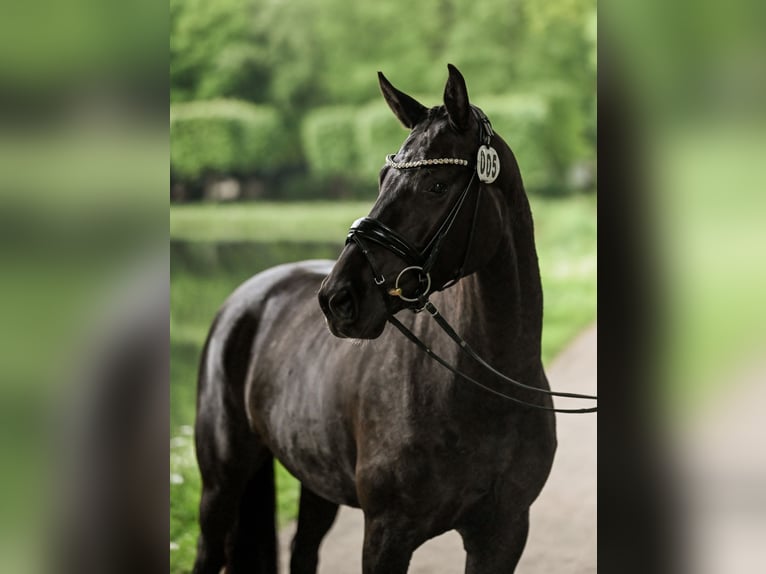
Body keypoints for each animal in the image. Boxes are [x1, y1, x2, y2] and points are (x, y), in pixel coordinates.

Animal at [194, 65, 560, 572]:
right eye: (383, 177)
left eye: (437, 186)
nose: (338, 298)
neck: (486, 389)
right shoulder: (387, 536)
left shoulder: (502, 535)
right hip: (221, 486)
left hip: (314, 479)